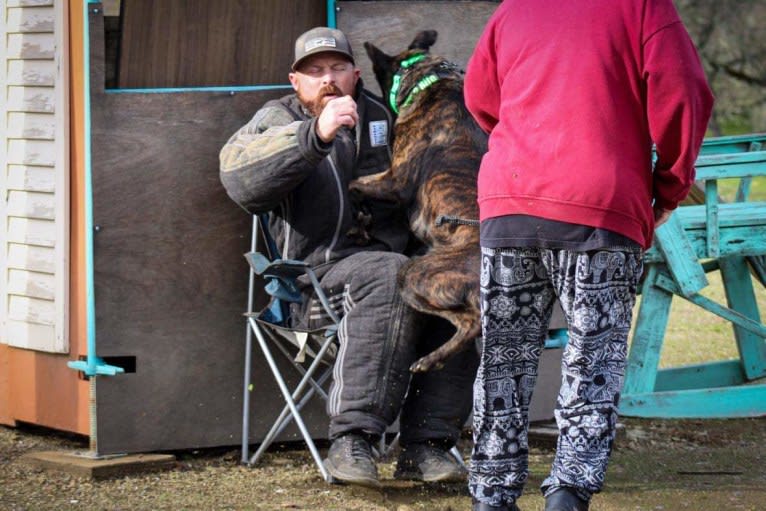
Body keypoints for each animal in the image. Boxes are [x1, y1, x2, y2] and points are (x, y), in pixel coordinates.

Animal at [352, 30, 488, 370]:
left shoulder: (395, 181)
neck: (425, 79)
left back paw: (430, 360)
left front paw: (360, 221)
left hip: (416, 276)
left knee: (472, 321)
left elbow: (353, 186)